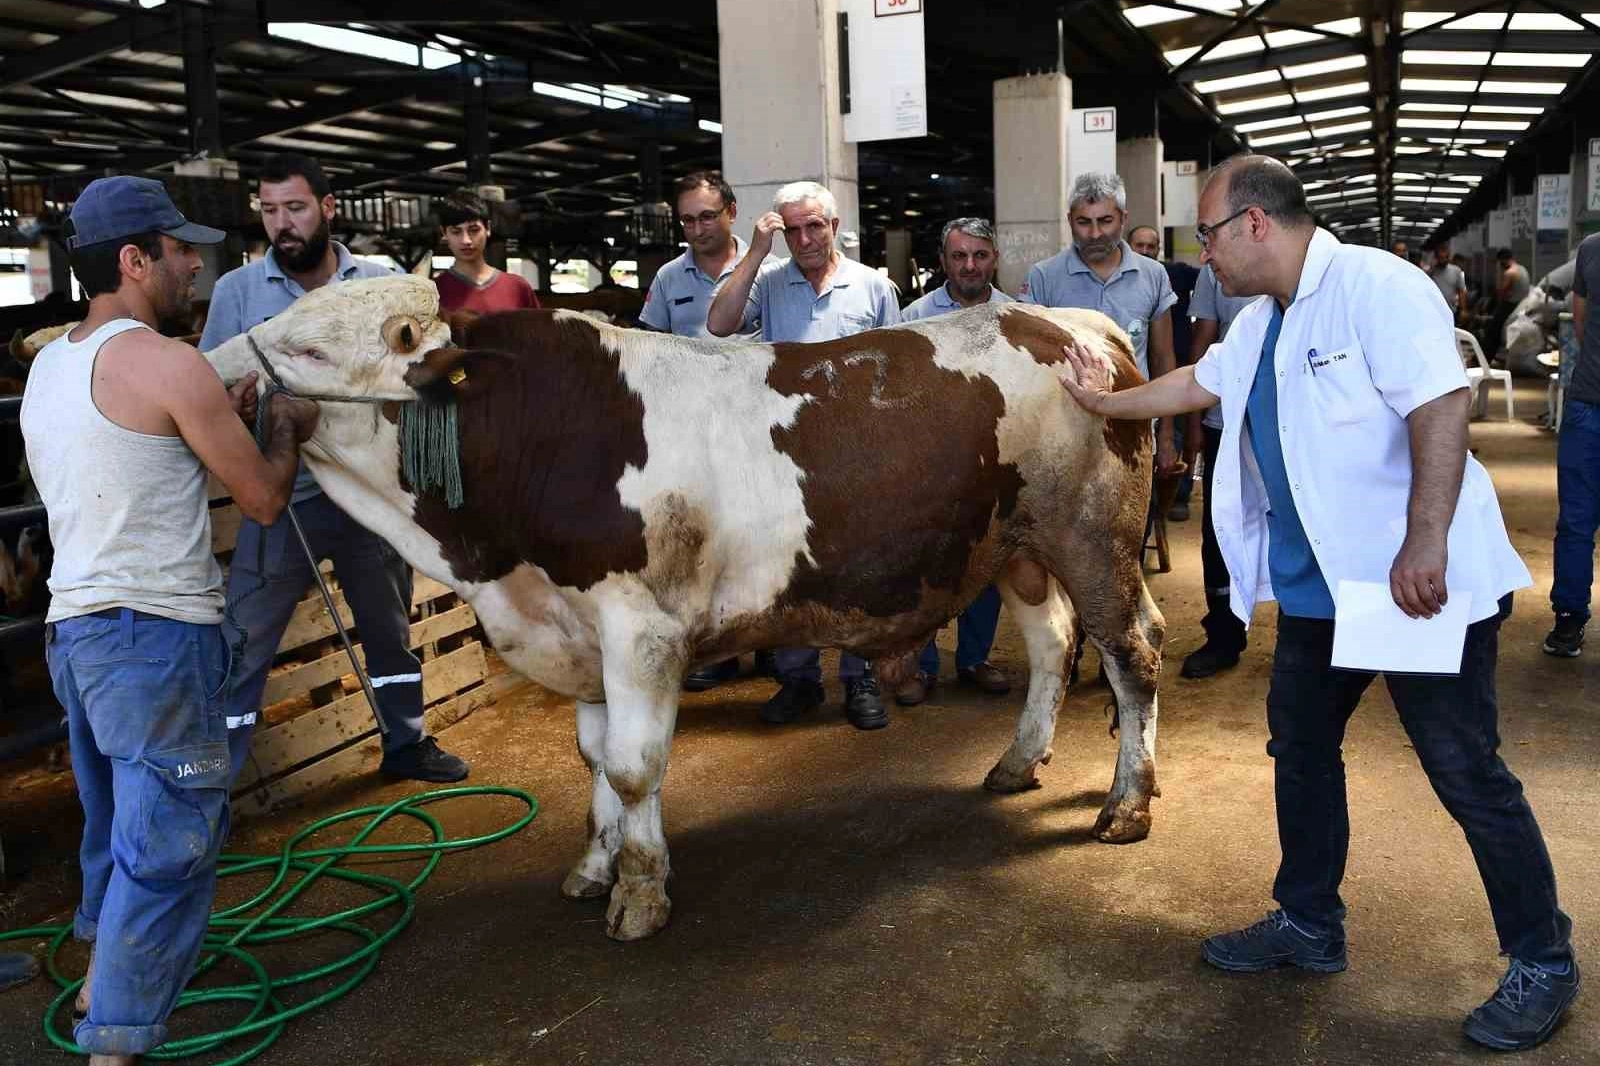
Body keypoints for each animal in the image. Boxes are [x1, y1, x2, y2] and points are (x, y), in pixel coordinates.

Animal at [206, 275, 1171, 941]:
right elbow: (595, 759)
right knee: (1052, 645)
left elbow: (634, 766)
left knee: (1134, 656)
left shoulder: (641, 628)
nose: (206, 370)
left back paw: (1126, 806)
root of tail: (1074, 324)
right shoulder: (580, 632)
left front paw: (639, 892)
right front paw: (595, 864)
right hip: (1019, 551)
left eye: (310, 349)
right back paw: (1018, 761)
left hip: (1093, 541)